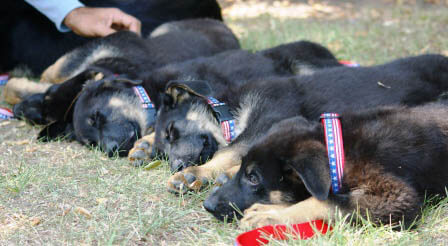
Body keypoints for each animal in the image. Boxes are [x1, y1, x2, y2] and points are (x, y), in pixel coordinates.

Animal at [160, 54, 448, 194]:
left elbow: (230, 151)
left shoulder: (270, 117)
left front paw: (193, 174)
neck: (229, 110)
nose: (176, 166)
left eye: (171, 132)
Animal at [204, 103, 448, 230]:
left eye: (253, 178)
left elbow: (325, 202)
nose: (207, 205)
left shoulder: (397, 197)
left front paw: (270, 214)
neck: (338, 152)